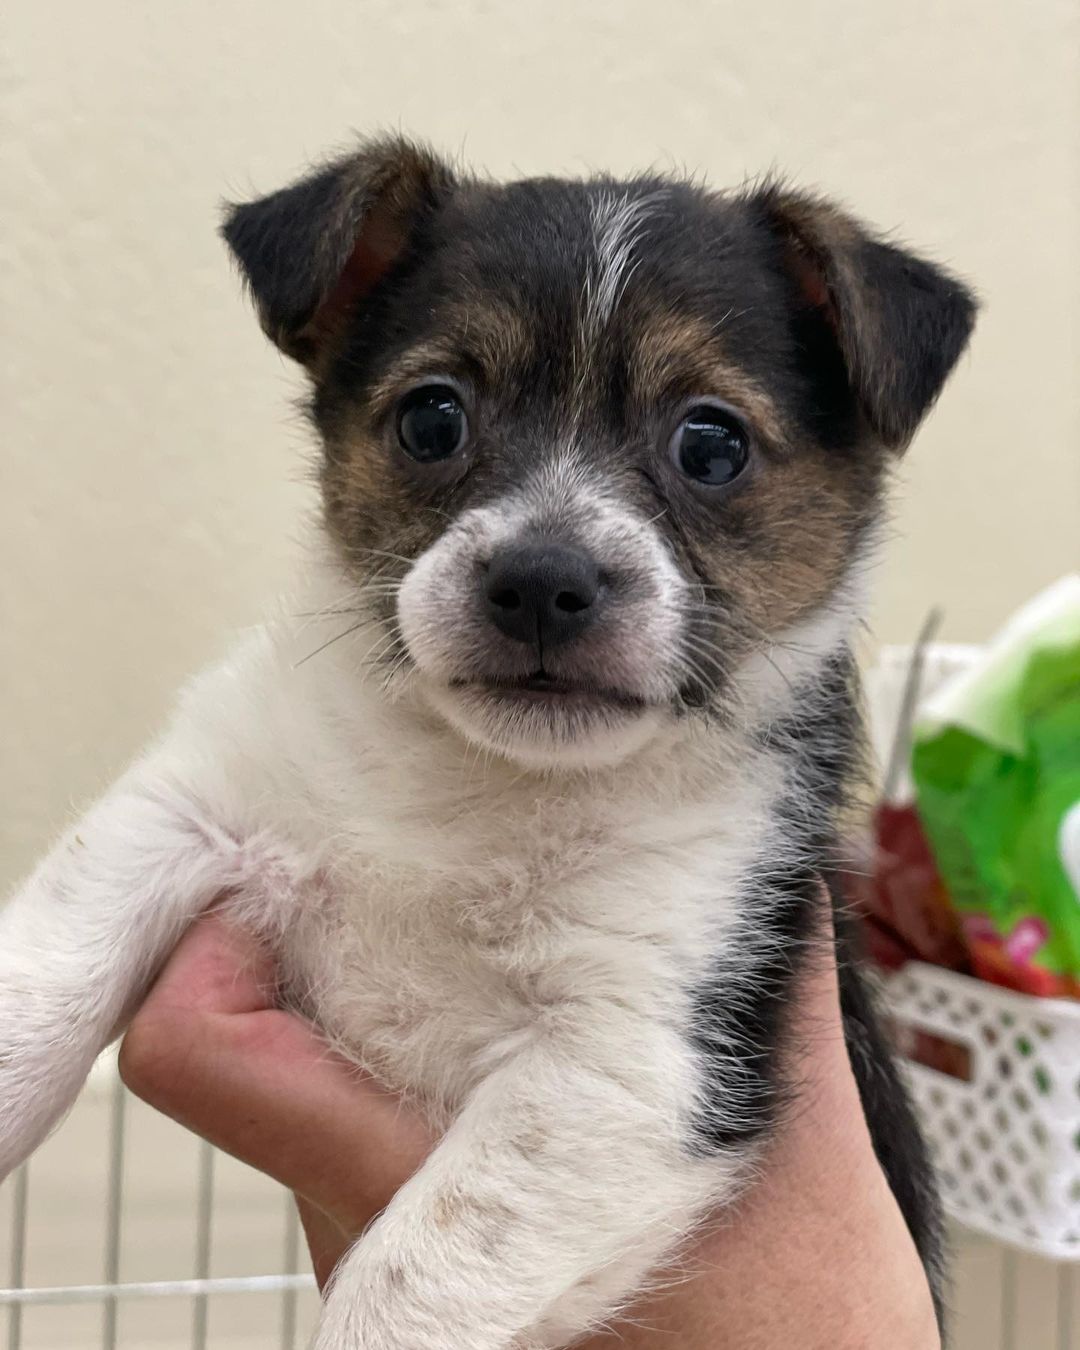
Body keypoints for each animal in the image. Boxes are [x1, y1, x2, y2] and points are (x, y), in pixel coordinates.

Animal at [0, 139, 977, 1350]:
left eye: (712, 444)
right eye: (433, 419)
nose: (543, 582)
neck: (478, 785)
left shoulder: (629, 1061)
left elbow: (410, 1284)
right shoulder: (187, 809)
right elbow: (43, 985)